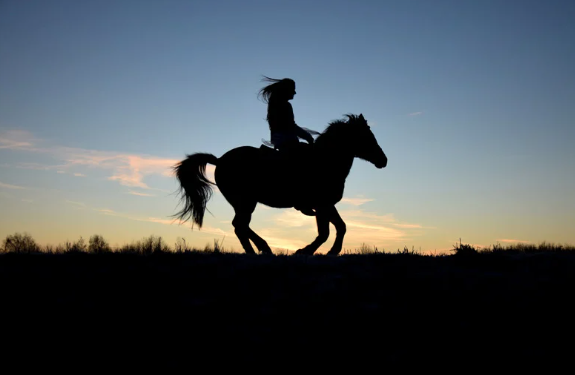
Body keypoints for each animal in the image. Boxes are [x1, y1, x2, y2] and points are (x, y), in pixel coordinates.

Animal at [171, 113, 388, 258]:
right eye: (366, 137)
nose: (383, 160)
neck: (324, 161)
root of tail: (219, 160)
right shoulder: (322, 205)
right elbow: (325, 232)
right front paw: (306, 251)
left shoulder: (326, 205)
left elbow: (340, 227)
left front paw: (329, 252)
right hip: (245, 202)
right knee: (239, 226)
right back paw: (260, 250)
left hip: (243, 203)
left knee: (240, 226)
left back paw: (260, 249)